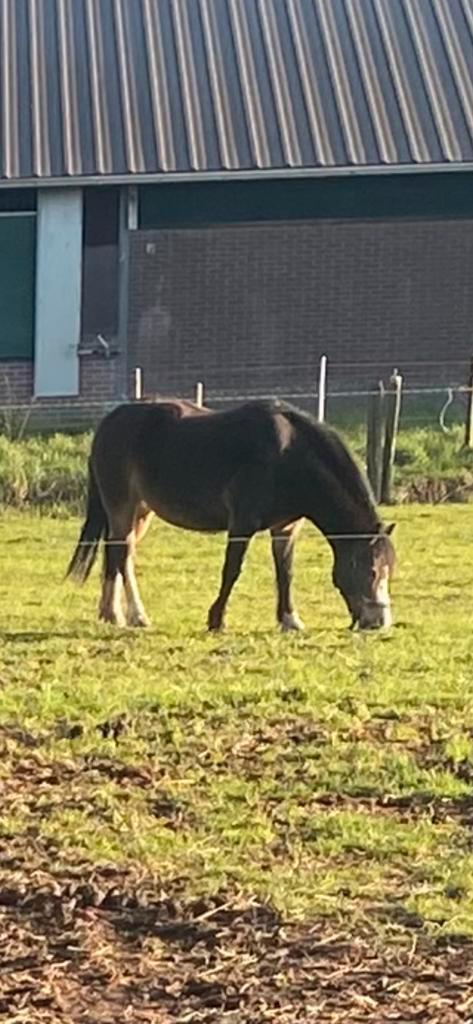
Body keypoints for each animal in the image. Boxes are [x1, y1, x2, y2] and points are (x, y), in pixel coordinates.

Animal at [66, 398, 396, 632]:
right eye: (371, 571)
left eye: (387, 571)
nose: (379, 622)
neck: (288, 454)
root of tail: (109, 423)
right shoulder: (242, 523)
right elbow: (232, 570)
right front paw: (216, 619)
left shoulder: (285, 528)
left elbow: (285, 572)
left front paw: (290, 620)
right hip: (122, 505)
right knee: (121, 554)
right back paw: (136, 616)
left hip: (140, 511)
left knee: (118, 555)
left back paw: (112, 614)